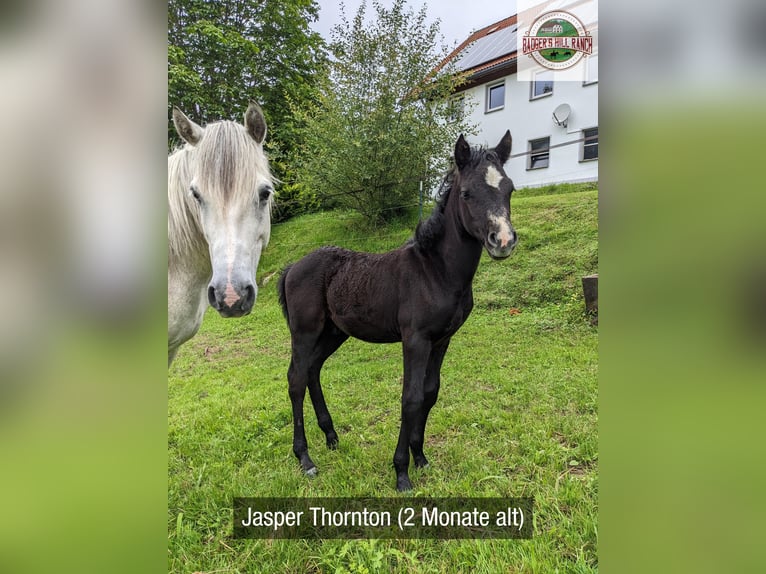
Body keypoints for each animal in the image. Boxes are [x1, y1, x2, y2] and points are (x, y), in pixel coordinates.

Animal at [277, 131, 517, 491]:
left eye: (510, 189)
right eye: (466, 193)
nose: (502, 240)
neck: (436, 270)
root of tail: (292, 267)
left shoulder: (442, 339)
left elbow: (430, 393)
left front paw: (421, 457)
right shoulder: (415, 339)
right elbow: (411, 397)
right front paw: (401, 472)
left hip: (334, 332)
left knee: (312, 371)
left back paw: (331, 436)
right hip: (305, 331)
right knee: (295, 379)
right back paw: (305, 458)